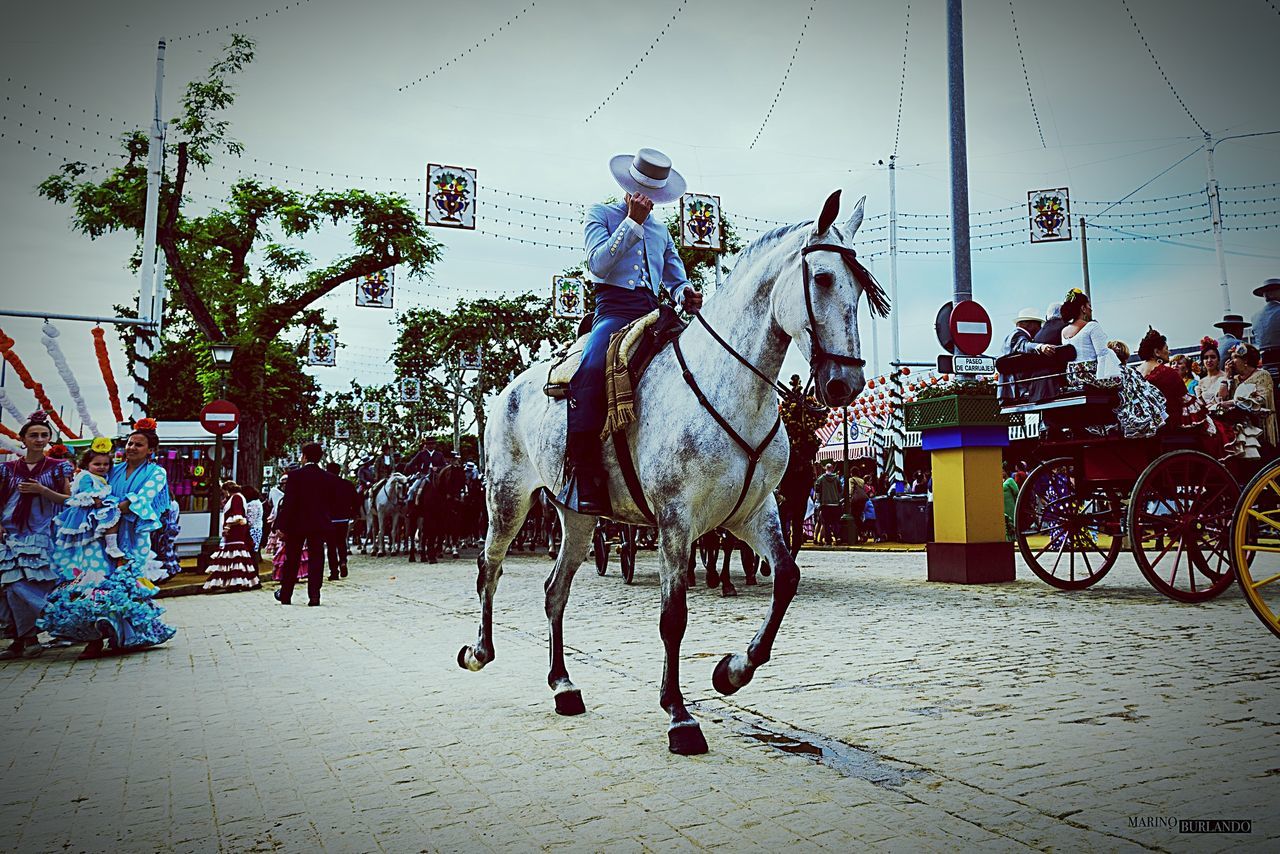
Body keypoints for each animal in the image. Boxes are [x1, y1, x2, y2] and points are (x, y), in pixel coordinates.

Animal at [460, 192, 890, 752]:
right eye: (820, 277)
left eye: (858, 286)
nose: (845, 383)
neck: (731, 387)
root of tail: (509, 391)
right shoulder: (675, 522)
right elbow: (674, 617)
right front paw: (679, 715)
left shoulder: (755, 513)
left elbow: (786, 578)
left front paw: (732, 671)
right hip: (507, 499)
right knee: (489, 569)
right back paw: (480, 651)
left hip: (577, 516)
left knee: (555, 590)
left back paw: (563, 685)